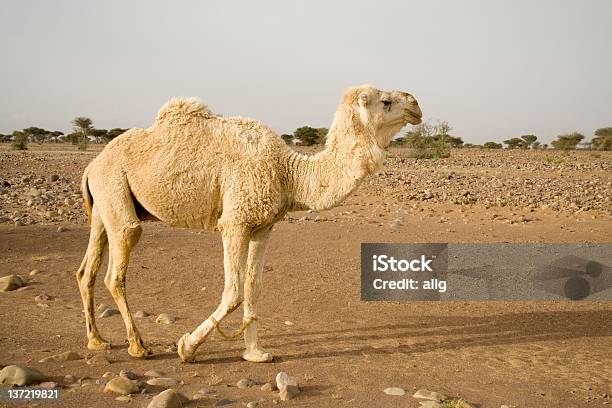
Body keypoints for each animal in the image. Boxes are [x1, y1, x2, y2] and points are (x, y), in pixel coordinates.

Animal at [75, 84, 420, 362]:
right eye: (386, 101)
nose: (416, 103)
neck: (289, 172)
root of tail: (91, 165)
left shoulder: (263, 226)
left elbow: (254, 287)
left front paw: (255, 353)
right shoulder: (234, 222)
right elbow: (233, 291)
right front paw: (187, 347)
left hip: (105, 201)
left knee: (86, 270)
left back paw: (97, 340)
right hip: (115, 188)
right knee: (118, 262)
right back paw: (138, 346)